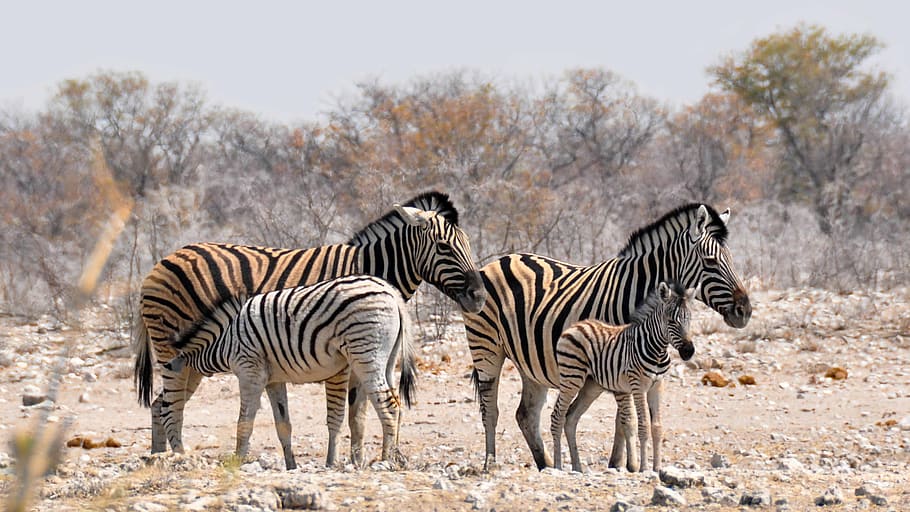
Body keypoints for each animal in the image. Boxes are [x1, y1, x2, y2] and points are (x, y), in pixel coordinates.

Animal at [163, 275, 416, 470]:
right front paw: (291, 465)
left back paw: (386, 460)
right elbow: (283, 424)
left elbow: (244, 421)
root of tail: (391, 292)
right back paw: (395, 456)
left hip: (365, 355)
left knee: (389, 407)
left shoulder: (249, 371)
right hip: (386, 360)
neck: (226, 340)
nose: (168, 367)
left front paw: (236, 461)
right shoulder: (273, 380)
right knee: (397, 404)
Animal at [551, 281, 695, 473]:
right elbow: (644, 425)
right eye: (671, 321)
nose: (688, 352)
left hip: (591, 386)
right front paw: (644, 468)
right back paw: (557, 466)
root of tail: (575, 326)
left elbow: (657, 427)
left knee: (571, 418)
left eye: (690, 320)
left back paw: (577, 467)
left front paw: (657, 468)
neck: (657, 350)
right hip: (571, 378)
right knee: (557, 416)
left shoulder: (657, 385)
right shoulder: (638, 386)